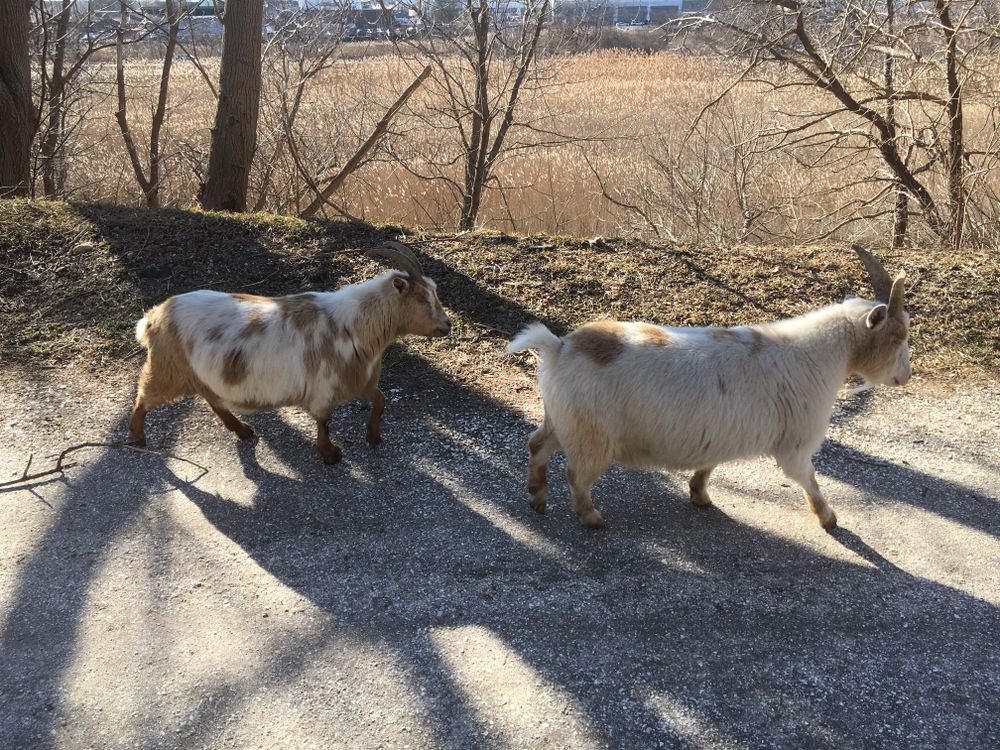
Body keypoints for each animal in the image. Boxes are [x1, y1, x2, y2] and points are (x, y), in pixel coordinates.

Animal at [128, 242, 451, 463]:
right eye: (423, 299)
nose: (447, 325)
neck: (353, 325)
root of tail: (155, 315)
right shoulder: (324, 388)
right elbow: (324, 421)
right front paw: (330, 454)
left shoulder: (361, 379)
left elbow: (381, 401)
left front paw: (373, 437)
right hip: (167, 368)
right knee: (143, 398)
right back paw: (137, 437)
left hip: (197, 373)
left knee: (213, 399)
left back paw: (242, 430)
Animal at [506, 246, 910, 530]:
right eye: (898, 335)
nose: (904, 376)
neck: (814, 354)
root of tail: (559, 347)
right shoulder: (795, 443)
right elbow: (808, 479)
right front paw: (829, 519)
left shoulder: (719, 431)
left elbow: (709, 466)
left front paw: (699, 495)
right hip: (591, 436)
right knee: (576, 474)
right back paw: (591, 518)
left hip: (562, 420)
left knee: (537, 444)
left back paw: (537, 497)